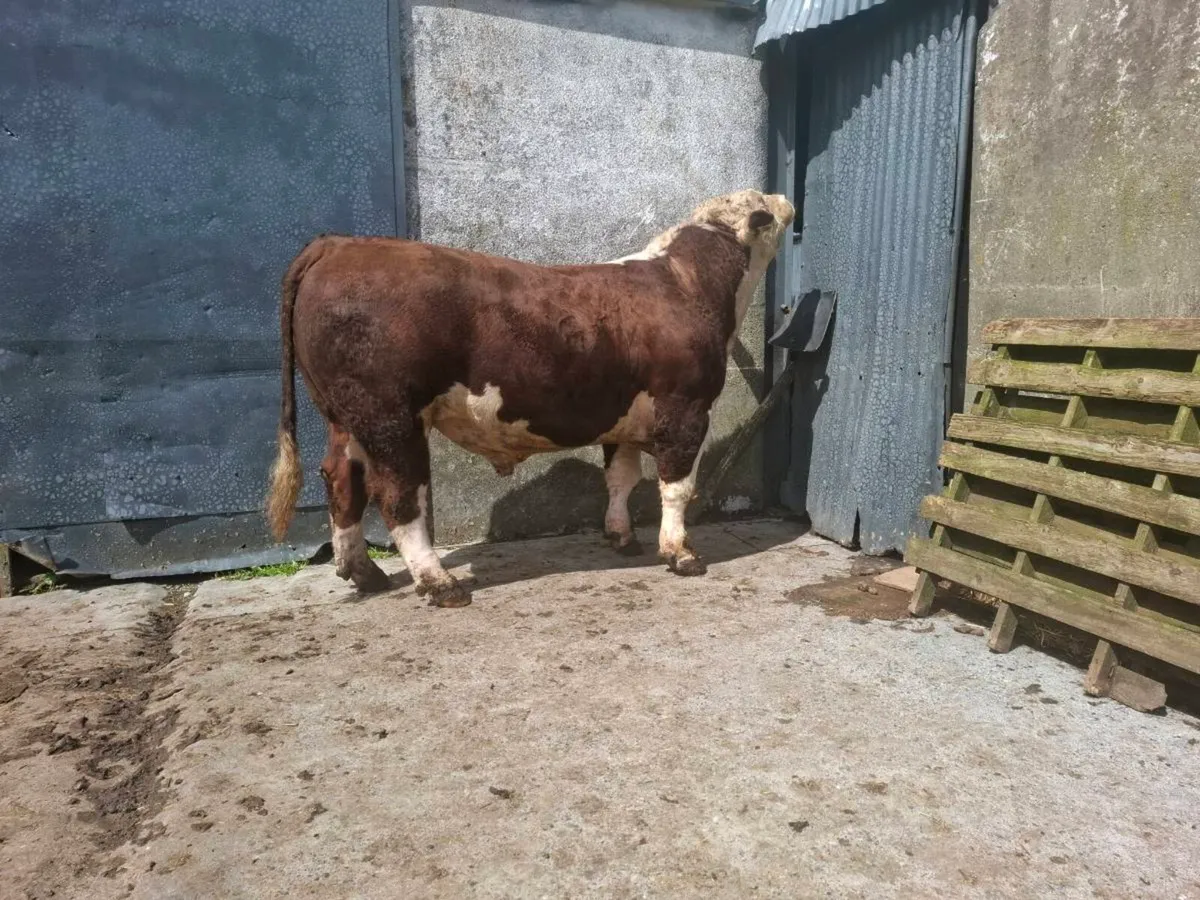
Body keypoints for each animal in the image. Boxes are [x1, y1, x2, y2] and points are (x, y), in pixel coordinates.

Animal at [265, 189, 795, 607]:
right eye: (764, 206)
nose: (786, 200)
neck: (687, 284)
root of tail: (339, 244)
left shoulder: (624, 417)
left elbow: (621, 479)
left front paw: (621, 536)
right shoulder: (686, 410)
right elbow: (677, 487)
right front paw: (680, 553)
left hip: (347, 417)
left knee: (342, 481)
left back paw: (363, 572)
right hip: (390, 419)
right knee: (399, 496)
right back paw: (440, 584)